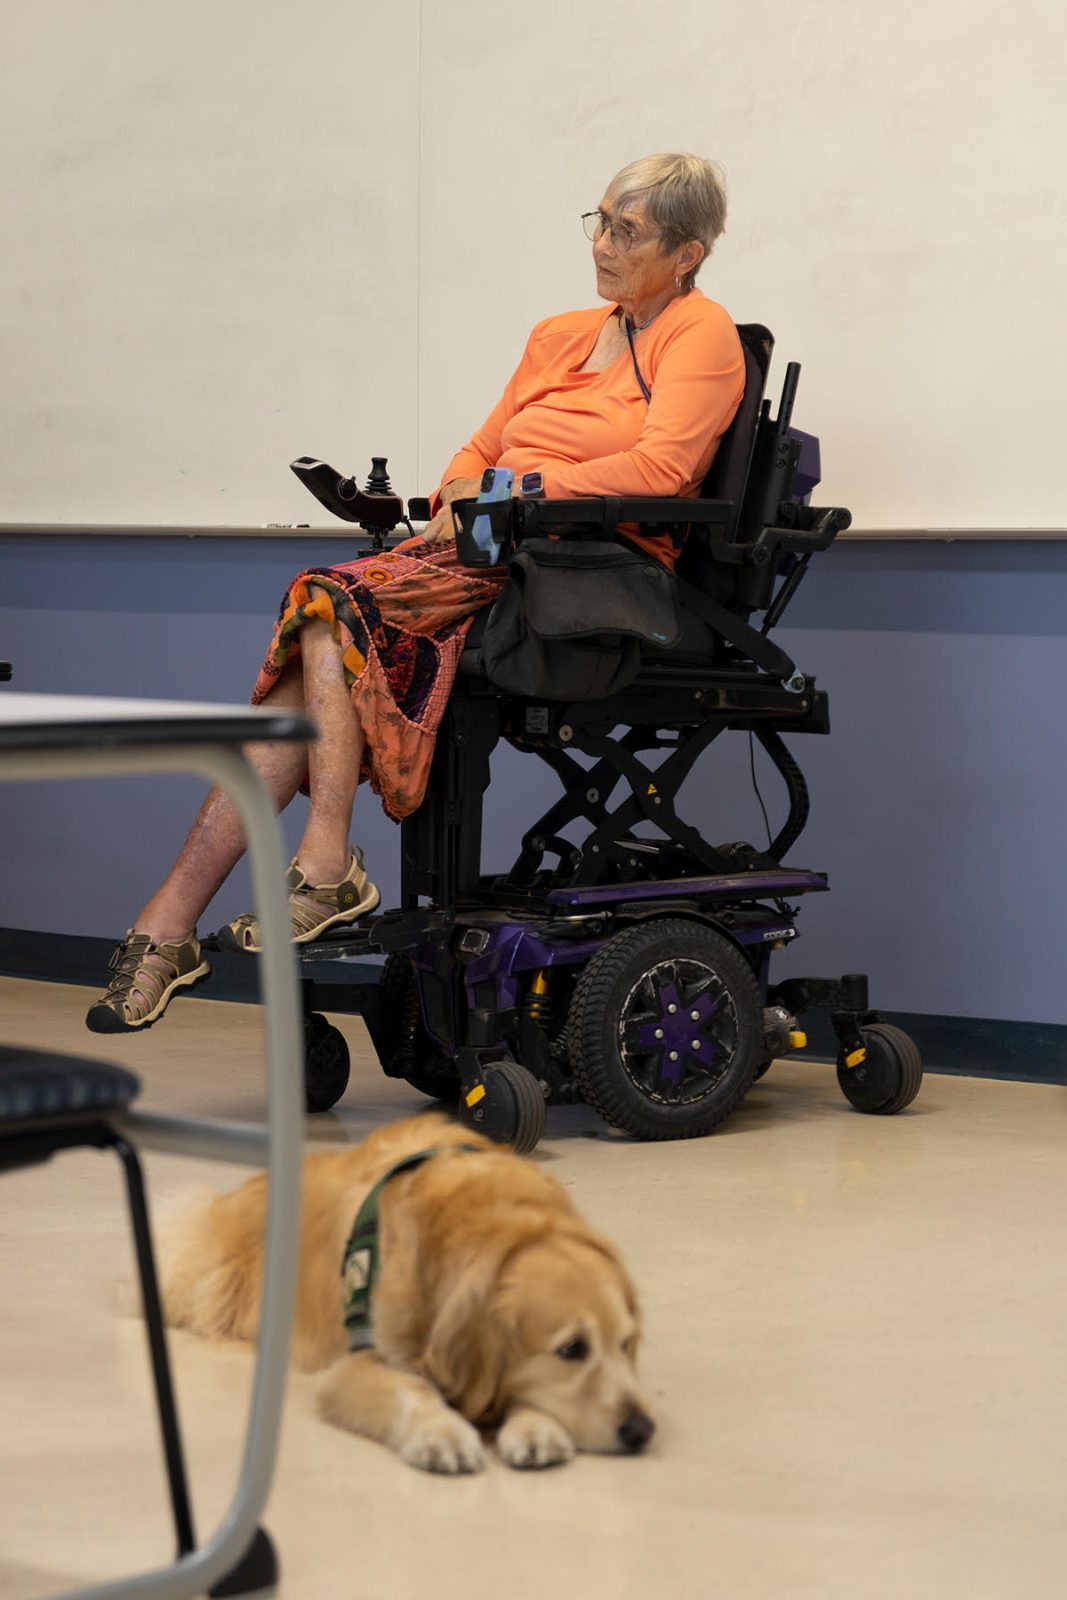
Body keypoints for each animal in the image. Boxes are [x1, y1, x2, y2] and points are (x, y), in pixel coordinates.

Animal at [158, 1113, 655, 1472]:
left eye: (628, 1344)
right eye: (572, 1349)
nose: (642, 1429)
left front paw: (538, 1427)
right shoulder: (354, 1364)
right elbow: (410, 1390)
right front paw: (442, 1433)